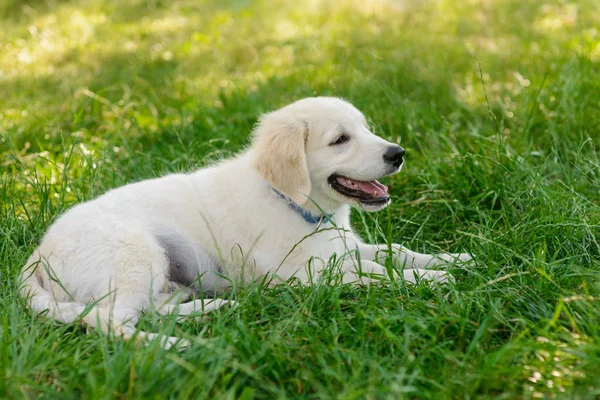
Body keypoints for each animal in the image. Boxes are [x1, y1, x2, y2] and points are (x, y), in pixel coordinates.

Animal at [19, 97, 474, 346]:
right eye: (341, 140)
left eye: (366, 128)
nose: (398, 153)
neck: (292, 202)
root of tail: (38, 253)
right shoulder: (306, 275)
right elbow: (376, 273)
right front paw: (431, 280)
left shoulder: (345, 247)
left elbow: (393, 251)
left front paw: (453, 259)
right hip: (134, 254)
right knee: (108, 319)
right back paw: (170, 344)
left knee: (145, 308)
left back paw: (210, 306)